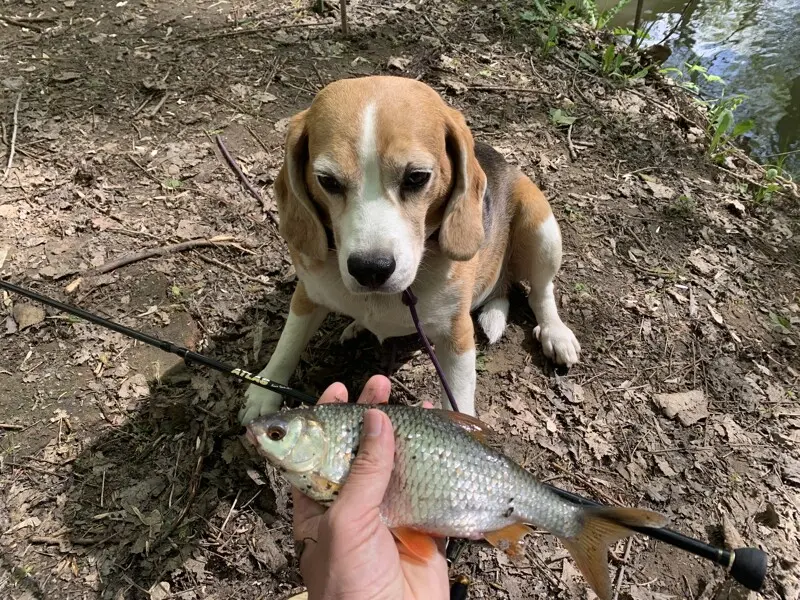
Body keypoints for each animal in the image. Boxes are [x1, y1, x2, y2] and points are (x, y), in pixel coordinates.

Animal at [239, 74, 580, 422]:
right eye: (328, 181)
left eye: (416, 177)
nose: (370, 269)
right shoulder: (308, 293)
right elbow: (289, 341)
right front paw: (264, 391)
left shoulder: (457, 335)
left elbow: (458, 398)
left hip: (541, 226)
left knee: (541, 290)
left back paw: (555, 333)